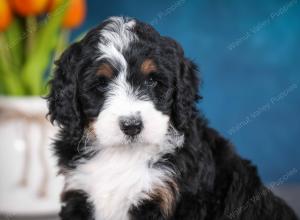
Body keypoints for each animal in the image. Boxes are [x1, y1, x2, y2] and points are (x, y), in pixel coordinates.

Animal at [47, 16, 298, 219]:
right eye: (101, 84)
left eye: (152, 81)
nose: (132, 126)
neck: (124, 154)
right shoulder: (79, 191)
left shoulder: (166, 196)